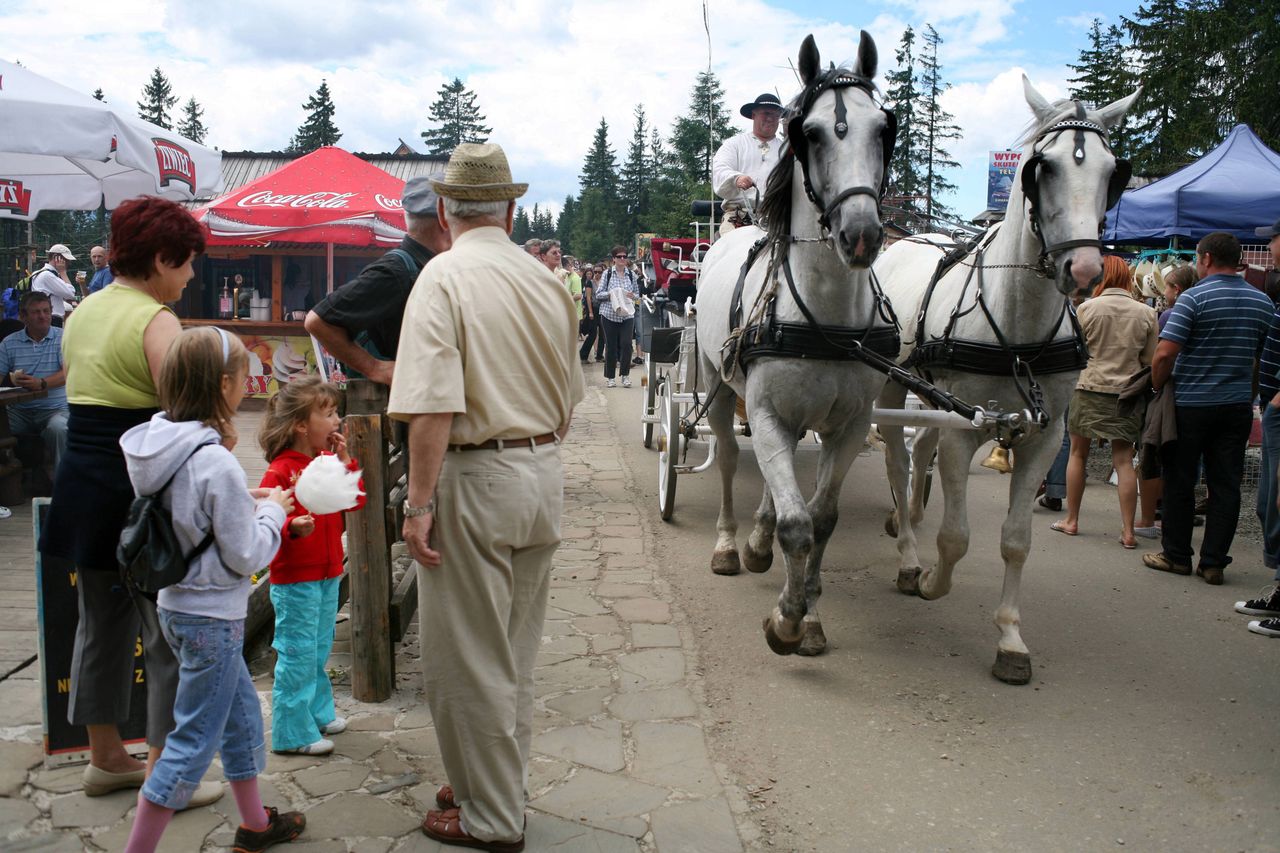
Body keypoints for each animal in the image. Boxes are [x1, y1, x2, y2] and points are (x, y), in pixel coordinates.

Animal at [696, 33, 896, 653]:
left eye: (884, 127)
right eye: (809, 133)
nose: (861, 233)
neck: (827, 319)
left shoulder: (850, 424)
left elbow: (821, 518)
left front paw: (809, 613)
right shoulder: (762, 410)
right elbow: (796, 524)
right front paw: (786, 618)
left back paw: (757, 542)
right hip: (718, 386)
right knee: (730, 458)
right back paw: (729, 544)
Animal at [875, 76, 1136, 681]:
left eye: (1113, 172)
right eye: (1043, 167)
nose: (1084, 270)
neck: (1016, 326)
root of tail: (907, 240)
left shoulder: (1045, 435)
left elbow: (1016, 541)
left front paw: (1011, 639)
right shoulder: (966, 429)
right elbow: (955, 537)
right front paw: (931, 580)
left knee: (918, 450)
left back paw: (909, 515)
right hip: (894, 384)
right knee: (899, 461)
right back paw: (907, 553)